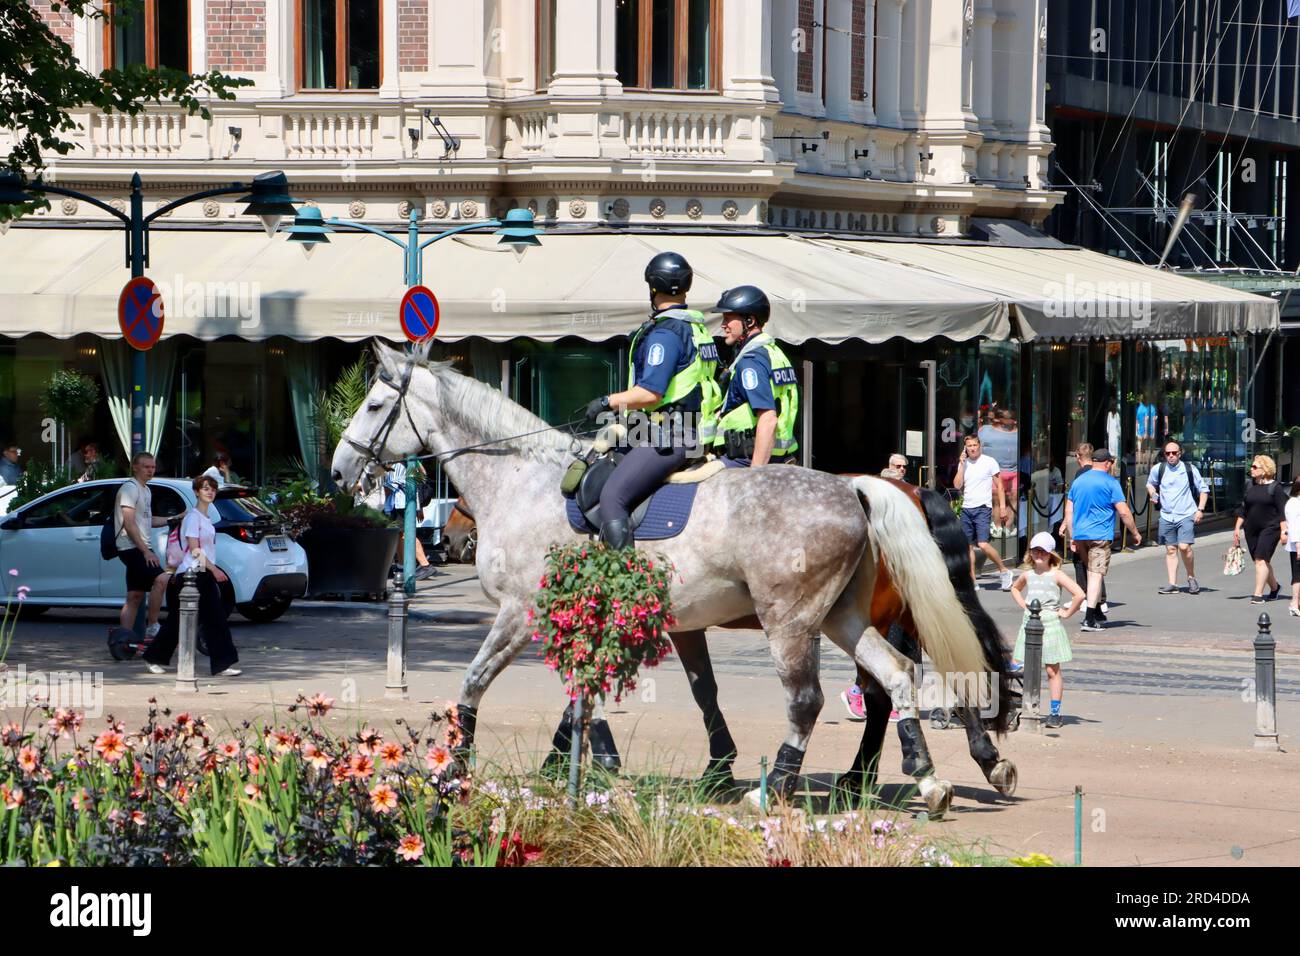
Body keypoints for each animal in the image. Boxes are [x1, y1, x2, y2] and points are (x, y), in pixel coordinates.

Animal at [331, 343, 1010, 815]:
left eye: (373, 406)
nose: (338, 473)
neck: (524, 482)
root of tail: (857, 488)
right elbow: (595, 695)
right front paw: (587, 759)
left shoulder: (520, 613)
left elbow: (474, 683)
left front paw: (456, 765)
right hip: (844, 617)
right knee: (900, 677)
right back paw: (929, 778)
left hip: (793, 623)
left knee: (814, 699)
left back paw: (779, 787)